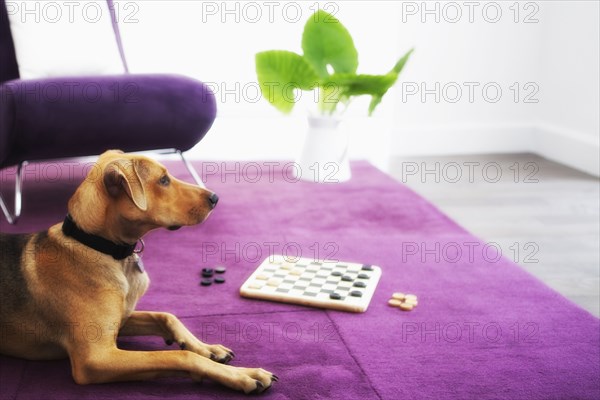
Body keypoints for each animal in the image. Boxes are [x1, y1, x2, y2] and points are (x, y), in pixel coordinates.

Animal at [0, 149, 276, 394]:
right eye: (163, 180)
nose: (215, 198)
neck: (104, 248)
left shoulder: (123, 318)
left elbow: (166, 316)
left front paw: (206, 347)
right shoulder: (95, 358)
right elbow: (180, 356)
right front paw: (242, 375)